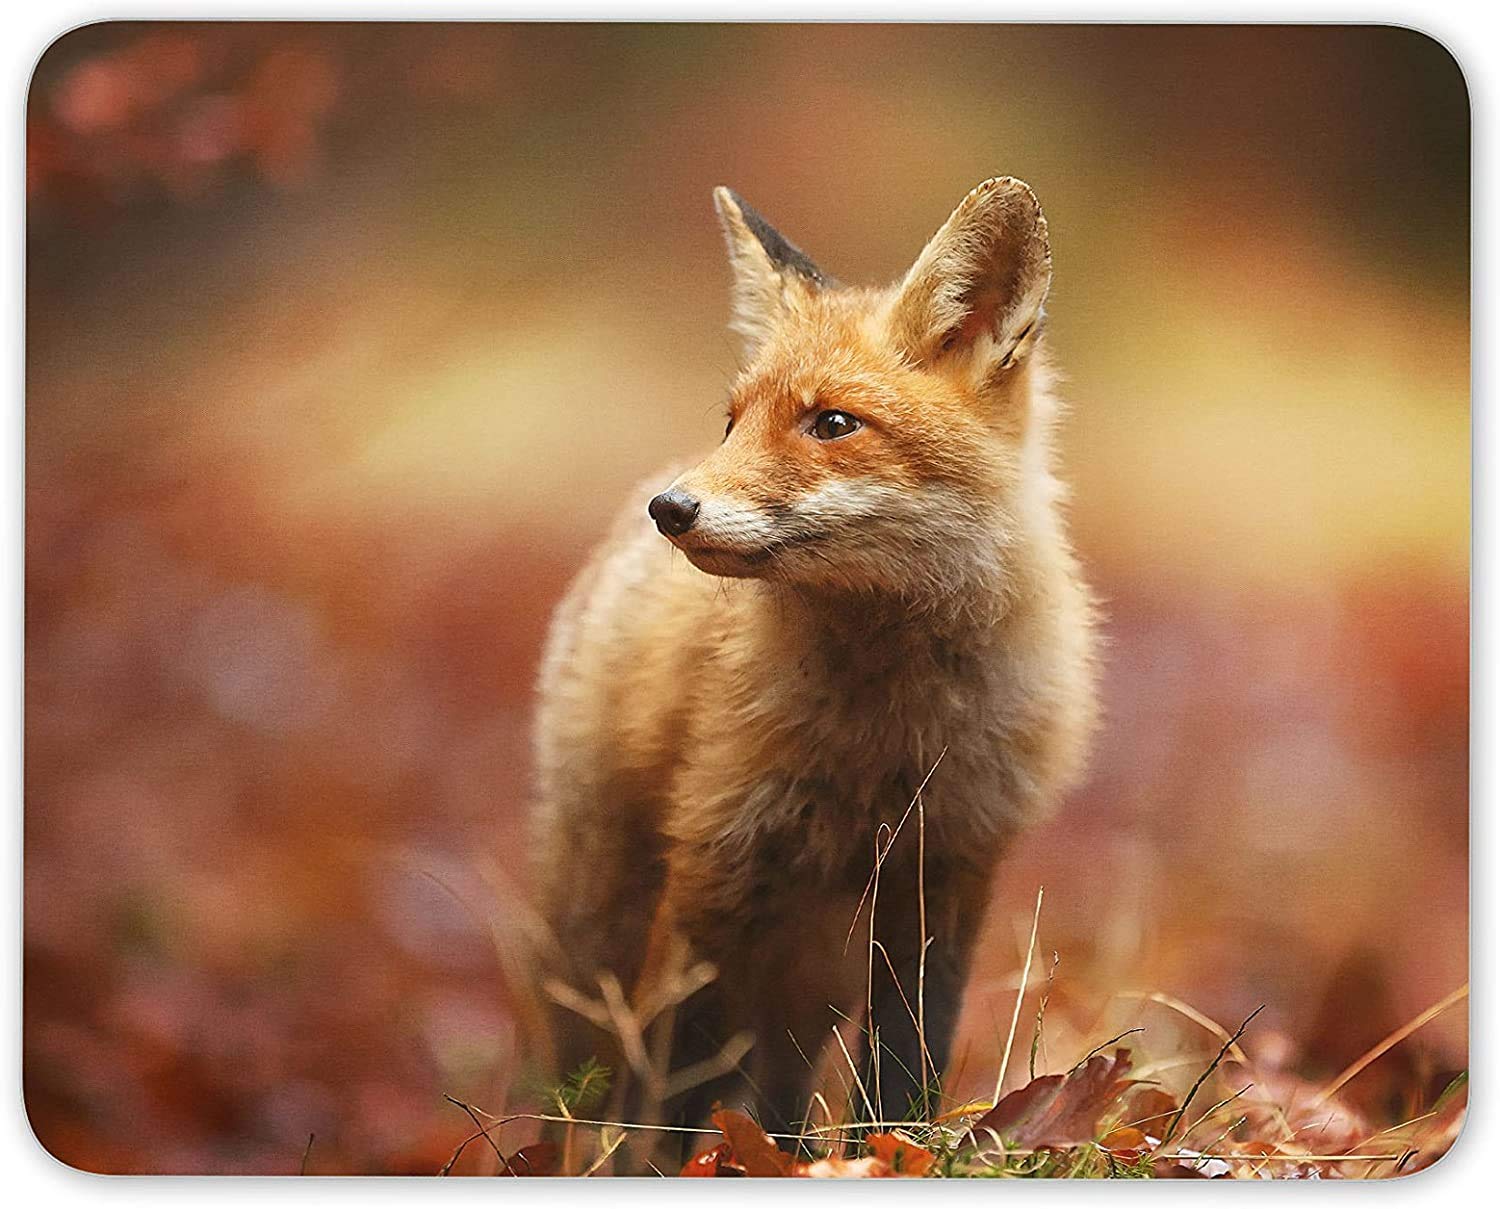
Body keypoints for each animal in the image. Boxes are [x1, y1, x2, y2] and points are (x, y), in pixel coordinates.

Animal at [531, 177, 1099, 1142]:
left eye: (832, 423)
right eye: (732, 423)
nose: (671, 508)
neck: (883, 734)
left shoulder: (945, 871)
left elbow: (907, 1063)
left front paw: (889, 1153)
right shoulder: (716, 860)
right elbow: (676, 1083)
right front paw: (672, 1162)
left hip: (815, 972)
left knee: (784, 1084)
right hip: (617, 918)